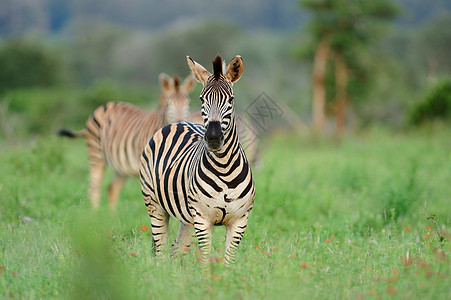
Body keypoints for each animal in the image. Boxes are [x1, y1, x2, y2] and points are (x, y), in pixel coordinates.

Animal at [58, 73, 196, 210]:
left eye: (188, 104)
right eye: (168, 104)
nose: (180, 123)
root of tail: (105, 105)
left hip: (121, 166)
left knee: (112, 189)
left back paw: (113, 217)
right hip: (96, 154)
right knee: (94, 188)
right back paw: (95, 214)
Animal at [139, 54, 256, 264]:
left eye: (231, 99)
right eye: (202, 99)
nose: (213, 138)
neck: (224, 168)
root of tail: (178, 122)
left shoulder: (240, 221)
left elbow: (228, 262)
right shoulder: (202, 219)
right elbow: (205, 259)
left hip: (187, 218)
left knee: (176, 249)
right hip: (154, 204)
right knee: (161, 251)